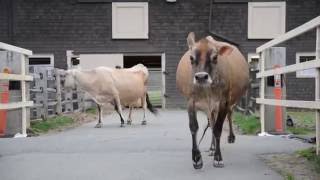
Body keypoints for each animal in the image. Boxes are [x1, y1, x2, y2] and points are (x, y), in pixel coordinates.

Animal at [176, 32, 249, 169]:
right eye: (191, 58)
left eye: (215, 57)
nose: (201, 77)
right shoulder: (190, 101)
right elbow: (194, 127)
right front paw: (196, 158)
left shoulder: (224, 102)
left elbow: (218, 129)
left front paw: (218, 158)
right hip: (210, 108)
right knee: (211, 122)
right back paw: (212, 147)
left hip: (229, 102)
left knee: (229, 115)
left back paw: (230, 137)